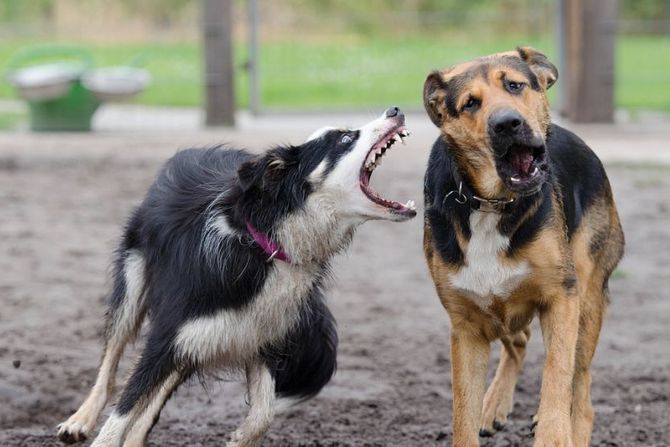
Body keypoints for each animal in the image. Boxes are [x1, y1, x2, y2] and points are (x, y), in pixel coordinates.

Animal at [56, 107, 414, 446]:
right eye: (345, 139)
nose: (395, 110)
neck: (268, 242)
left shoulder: (259, 335)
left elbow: (263, 414)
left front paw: (239, 438)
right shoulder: (169, 334)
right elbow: (123, 409)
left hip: (202, 340)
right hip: (134, 282)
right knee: (112, 360)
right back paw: (79, 420)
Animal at [426, 47, 624, 446]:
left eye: (515, 85)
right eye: (470, 103)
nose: (507, 124)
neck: (490, 203)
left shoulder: (562, 297)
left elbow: (557, 375)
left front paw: (553, 432)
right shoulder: (466, 326)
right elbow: (462, 412)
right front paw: (479, 411)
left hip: (587, 298)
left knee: (581, 390)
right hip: (501, 309)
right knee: (519, 340)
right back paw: (493, 405)